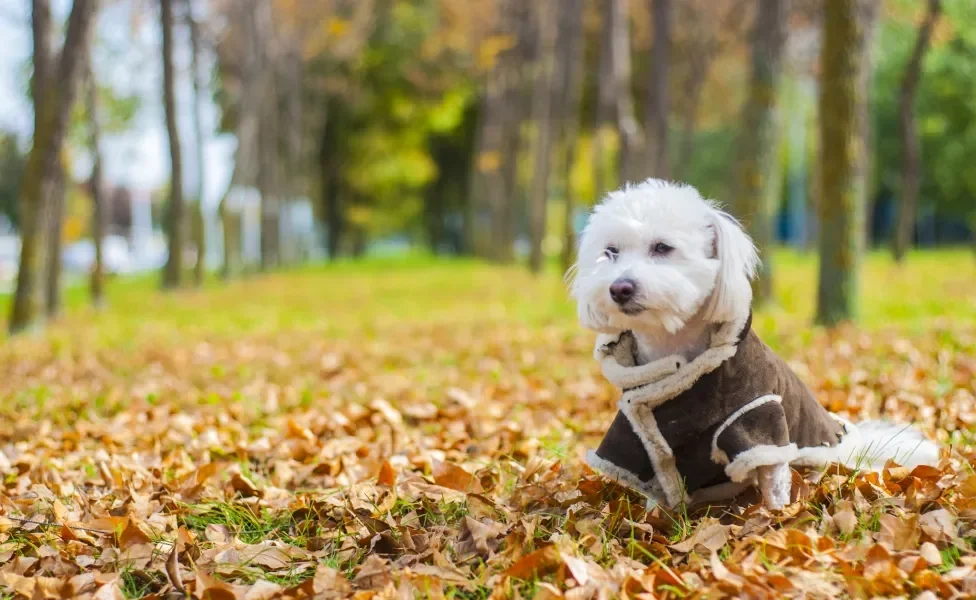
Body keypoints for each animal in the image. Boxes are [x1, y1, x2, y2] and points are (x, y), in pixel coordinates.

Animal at [572, 179, 936, 510]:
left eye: (662, 248)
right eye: (610, 252)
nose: (619, 288)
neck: (672, 353)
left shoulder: (759, 416)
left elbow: (773, 478)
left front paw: (774, 518)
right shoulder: (637, 434)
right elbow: (652, 475)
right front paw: (657, 519)